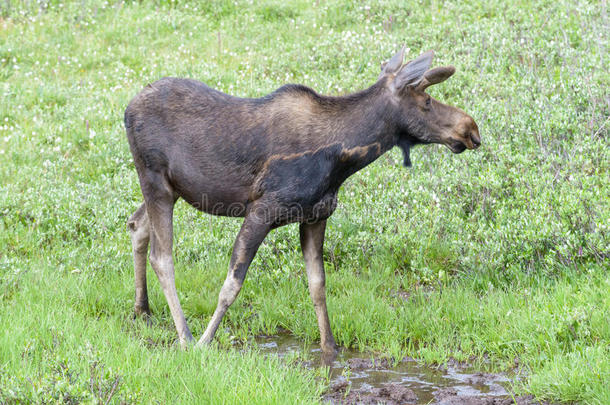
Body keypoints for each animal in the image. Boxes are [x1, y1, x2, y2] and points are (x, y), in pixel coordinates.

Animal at [123, 47, 480, 356]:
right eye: (427, 100)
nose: (471, 129)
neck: (342, 160)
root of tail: (126, 109)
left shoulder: (316, 216)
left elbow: (318, 285)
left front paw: (330, 349)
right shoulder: (261, 209)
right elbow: (232, 284)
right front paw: (204, 343)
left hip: (170, 188)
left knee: (136, 224)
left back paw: (142, 309)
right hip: (156, 181)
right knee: (162, 256)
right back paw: (184, 335)